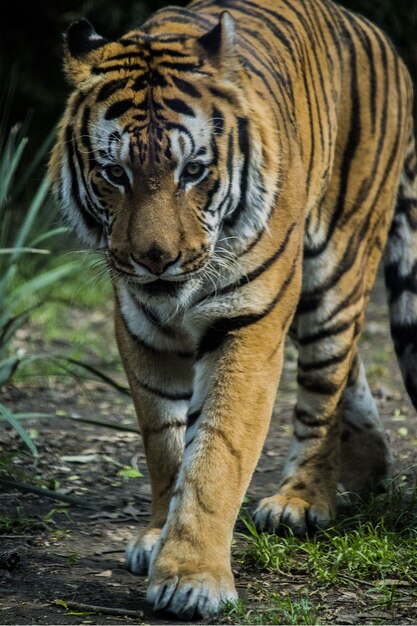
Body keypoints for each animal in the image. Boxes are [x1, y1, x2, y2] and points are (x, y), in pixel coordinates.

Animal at [49, 0, 416, 616]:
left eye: (193, 171)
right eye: (115, 173)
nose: (156, 259)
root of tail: (375, 31)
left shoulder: (249, 322)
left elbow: (217, 451)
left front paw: (191, 577)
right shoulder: (141, 328)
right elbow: (165, 443)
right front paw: (157, 536)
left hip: (336, 268)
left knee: (325, 384)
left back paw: (301, 501)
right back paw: (369, 467)